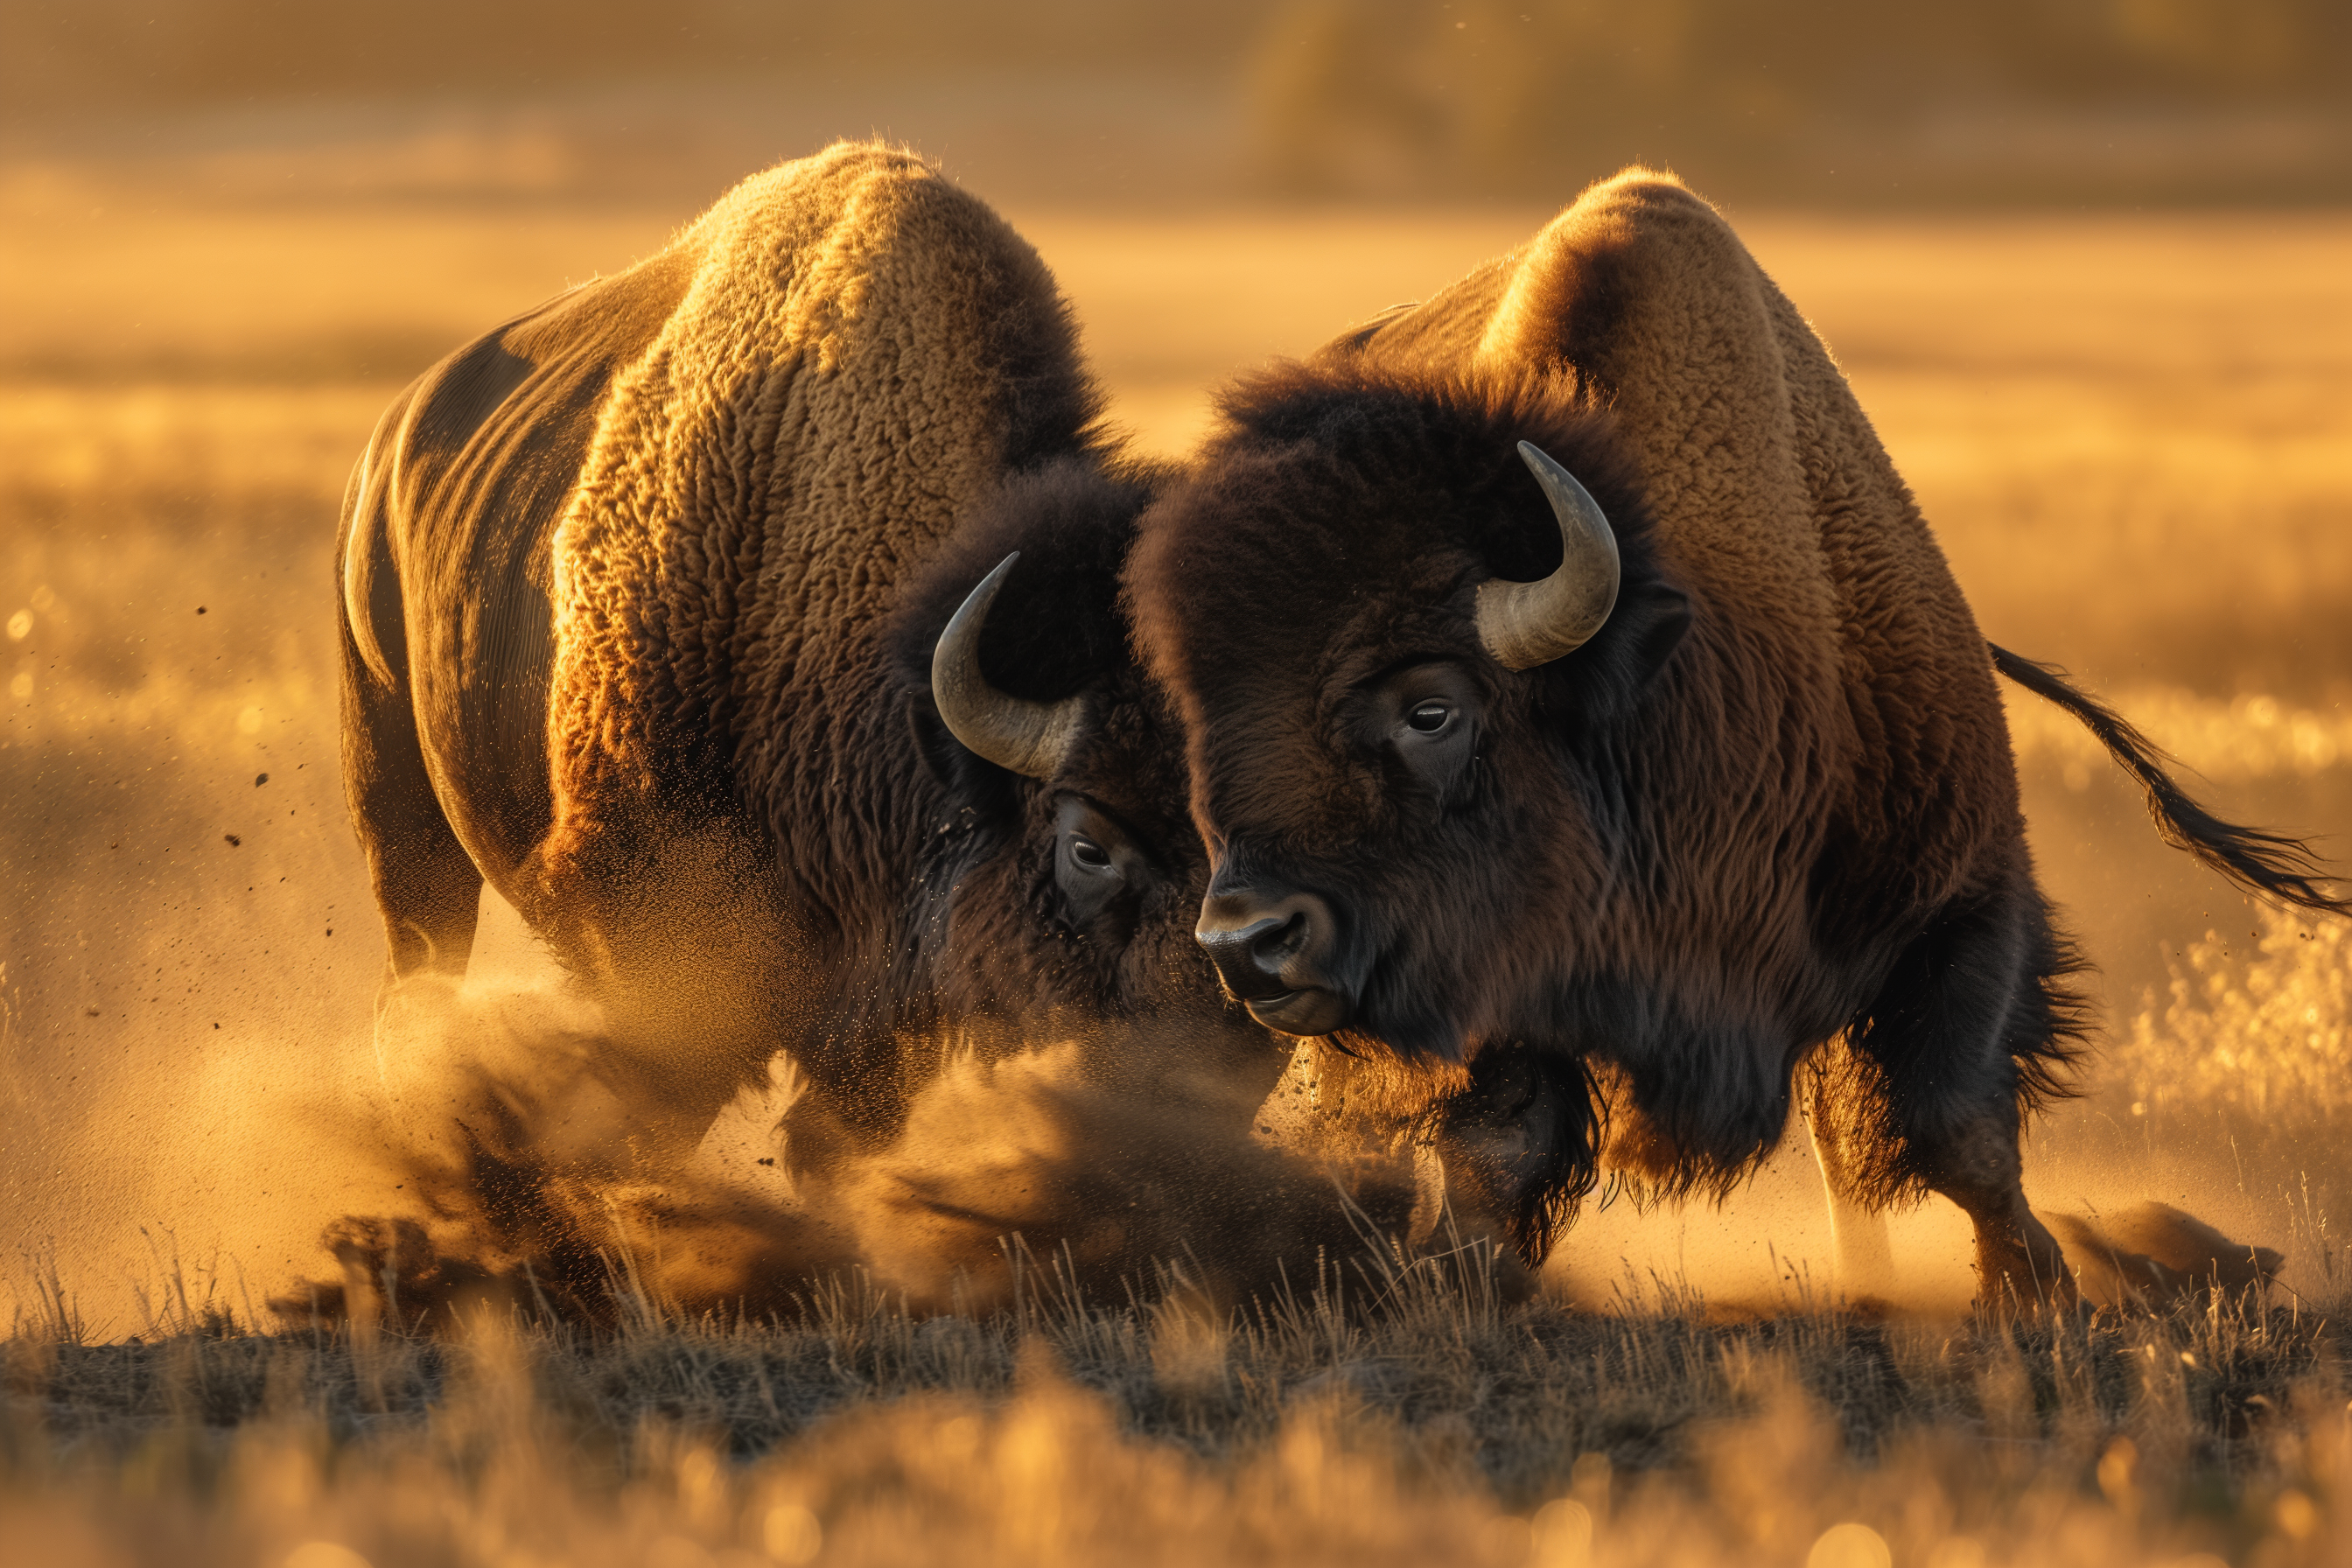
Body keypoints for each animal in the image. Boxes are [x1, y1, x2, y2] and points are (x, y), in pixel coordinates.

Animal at [1126, 170, 2346, 1309]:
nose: (1247, 940)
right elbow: (1499, 1142)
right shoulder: (1506, 994)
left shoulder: (1965, 903)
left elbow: (1959, 1126)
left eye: (1432, 708)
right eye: (1204, 712)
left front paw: (2034, 1288)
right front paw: (1463, 1275)